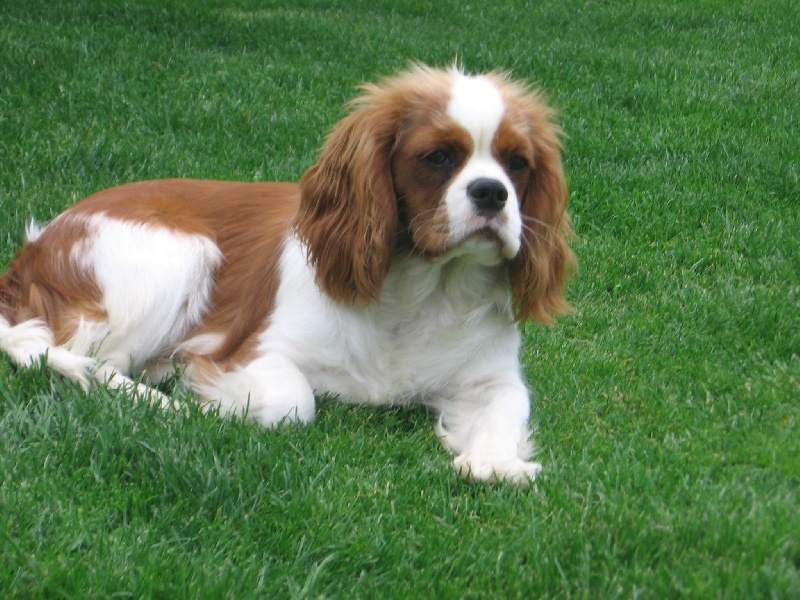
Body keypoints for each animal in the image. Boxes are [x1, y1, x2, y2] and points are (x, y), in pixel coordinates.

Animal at [0, 65, 574, 484]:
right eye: (437, 157)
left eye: (518, 164)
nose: (492, 193)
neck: (424, 290)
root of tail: (36, 246)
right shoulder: (259, 350)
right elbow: (293, 404)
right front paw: (216, 401)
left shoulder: (494, 377)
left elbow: (505, 409)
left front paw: (494, 462)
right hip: (180, 254)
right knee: (72, 355)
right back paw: (161, 397)